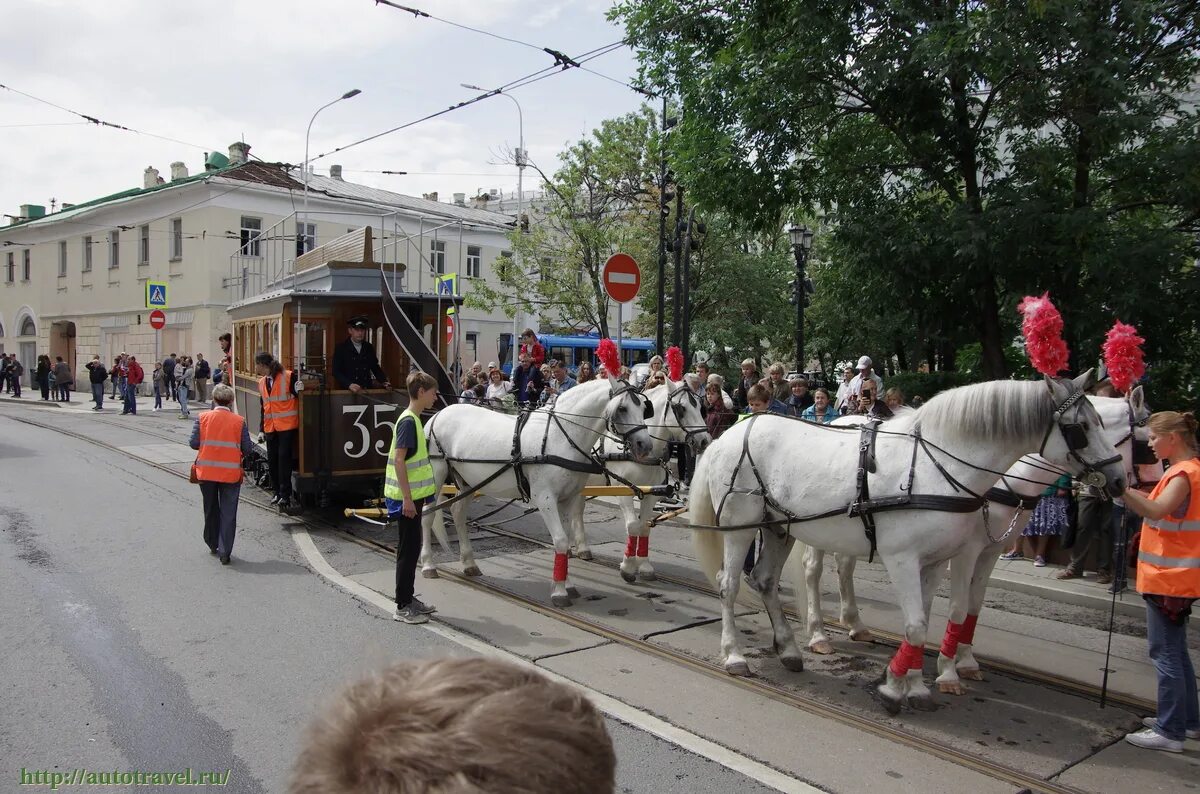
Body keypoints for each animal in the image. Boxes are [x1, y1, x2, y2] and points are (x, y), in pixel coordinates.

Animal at [422, 376, 657, 606]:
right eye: (622, 408)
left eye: (643, 407)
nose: (644, 445)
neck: (558, 436)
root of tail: (439, 414)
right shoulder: (545, 498)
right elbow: (560, 540)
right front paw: (560, 592)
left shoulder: (567, 498)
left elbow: (565, 541)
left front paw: (566, 584)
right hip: (435, 475)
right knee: (427, 515)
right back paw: (428, 565)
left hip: (469, 482)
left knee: (458, 513)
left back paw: (469, 563)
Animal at [580, 383, 710, 582]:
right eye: (681, 408)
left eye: (701, 407)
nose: (704, 440)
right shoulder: (624, 490)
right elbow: (633, 526)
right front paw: (627, 567)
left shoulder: (651, 493)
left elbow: (644, 527)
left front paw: (644, 565)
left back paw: (580, 547)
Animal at [691, 376, 1128, 719]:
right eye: (1081, 427)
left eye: (1103, 424)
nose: (1120, 480)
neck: (942, 466)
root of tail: (731, 433)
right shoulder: (910, 558)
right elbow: (922, 622)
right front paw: (901, 686)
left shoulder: (937, 561)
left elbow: (927, 620)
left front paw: (914, 683)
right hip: (740, 525)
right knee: (731, 583)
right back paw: (736, 654)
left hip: (780, 526)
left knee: (765, 579)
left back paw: (790, 649)